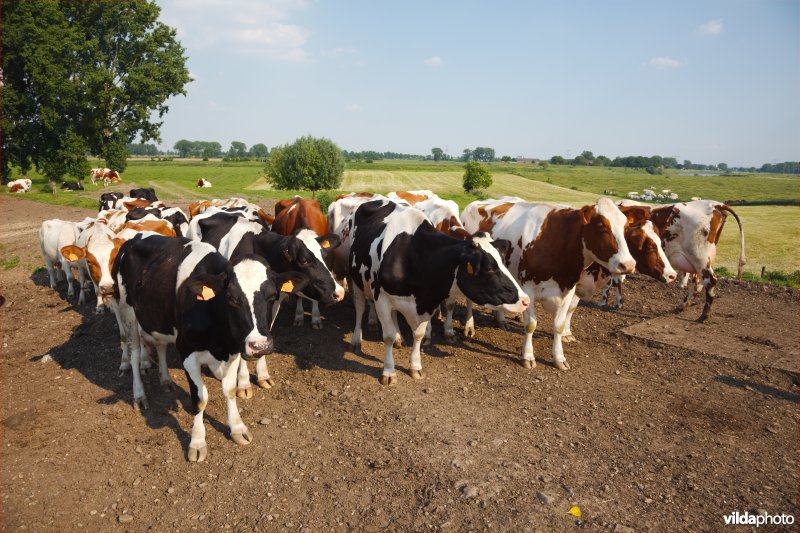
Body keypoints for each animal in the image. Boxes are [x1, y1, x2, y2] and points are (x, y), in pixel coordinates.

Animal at [114, 234, 308, 462]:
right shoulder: (187, 352)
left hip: (158, 316)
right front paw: (197, 442)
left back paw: (166, 380)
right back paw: (139, 394)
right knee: (134, 353)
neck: (220, 341)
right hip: (127, 310)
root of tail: (134, 237)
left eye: (272, 296)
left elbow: (230, 390)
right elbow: (200, 399)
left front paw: (237, 428)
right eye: (232, 298)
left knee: (160, 346)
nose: (259, 345)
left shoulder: (234, 350)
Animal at [346, 198, 528, 382]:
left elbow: (418, 334)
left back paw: (399, 337)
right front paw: (389, 372)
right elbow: (388, 336)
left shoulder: (428, 302)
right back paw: (357, 340)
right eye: (489, 268)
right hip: (356, 279)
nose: (525, 300)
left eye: (503, 262)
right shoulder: (381, 298)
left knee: (394, 314)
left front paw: (415, 366)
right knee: (360, 308)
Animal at [462, 196, 636, 370]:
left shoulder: (569, 289)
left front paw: (559, 357)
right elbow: (531, 324)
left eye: (626, 226)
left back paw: (500, 320)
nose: (628, 264)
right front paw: (528, 356)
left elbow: (559, 325)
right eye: (600, 226)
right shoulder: (527, 288)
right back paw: (470, 326)